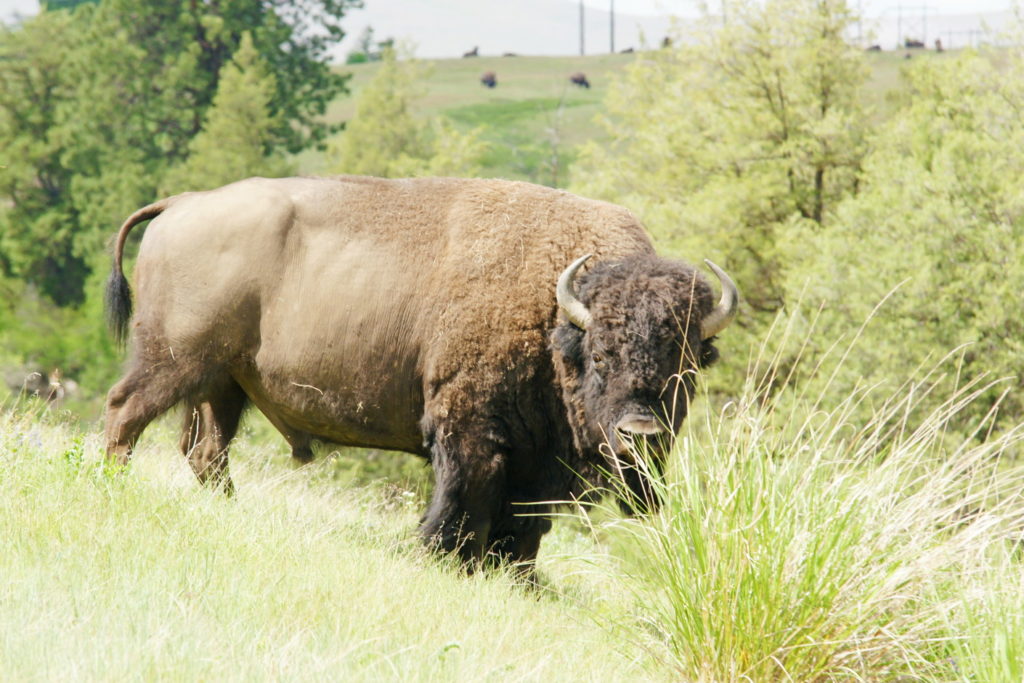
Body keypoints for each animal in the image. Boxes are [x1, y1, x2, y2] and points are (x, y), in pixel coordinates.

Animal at [103, 176, 741, 565]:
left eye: (686, 367)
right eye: (602, 356)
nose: (641, 434)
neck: (554, 316)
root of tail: (181, 203)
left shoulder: (537, 465)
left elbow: (523, 529)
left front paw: (518, 578)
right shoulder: (470, 430)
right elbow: (463, 502)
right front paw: (440, 556)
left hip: (224, 383)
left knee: (206, 452)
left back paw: (231, 512)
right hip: (173, 361)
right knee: (125, 414)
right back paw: (111, 485)